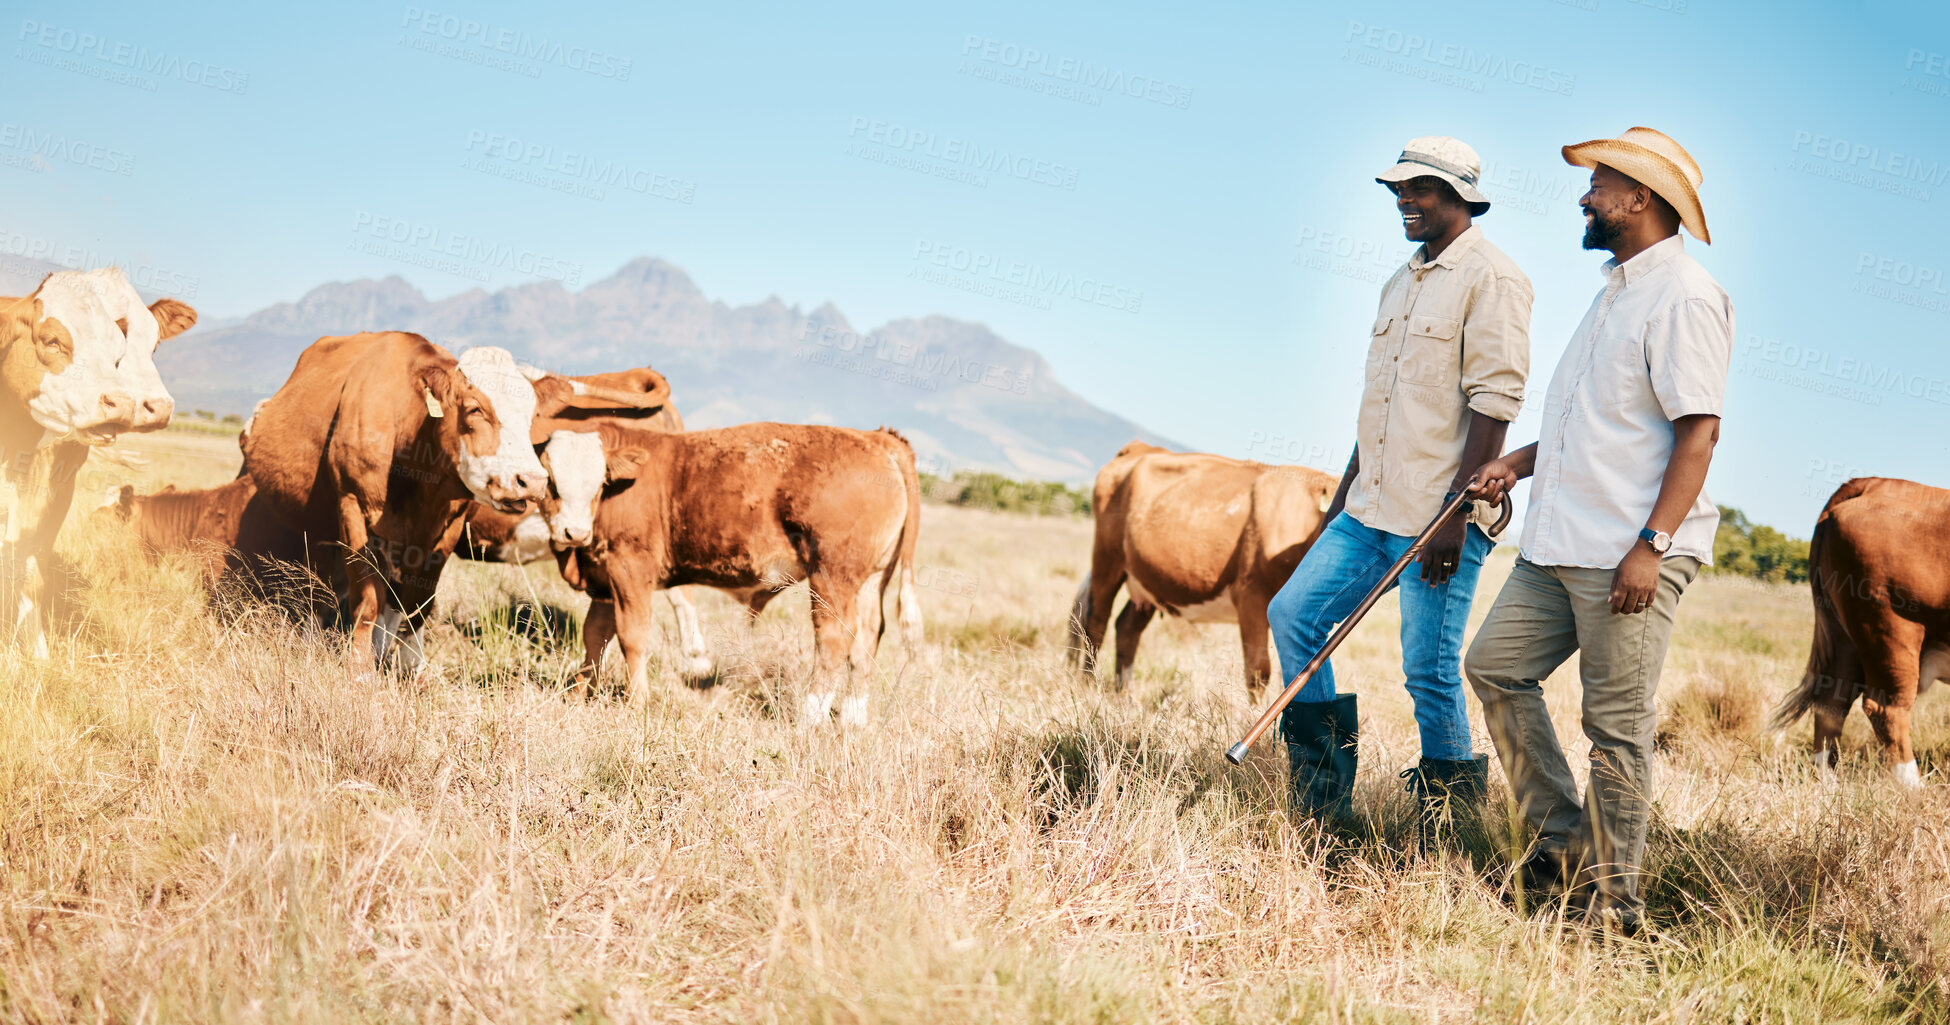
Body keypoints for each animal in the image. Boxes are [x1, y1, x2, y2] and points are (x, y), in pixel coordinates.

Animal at [2, 268, 195, 658]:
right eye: (51, 340)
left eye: (154, 345)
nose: (155, 407)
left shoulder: (57, 491)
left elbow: (31, 569)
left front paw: (37, 652)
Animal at [542, 420, 920, 724]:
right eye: (551, 483)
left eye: (596, 483)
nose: (574, 532)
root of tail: (876, 437)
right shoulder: (605, 579)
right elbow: (594, 636)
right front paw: (577, 696)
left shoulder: (630, 569)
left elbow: (631, 637)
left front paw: (637, 704)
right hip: (870, 580)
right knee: (867, 638)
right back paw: (852, 719)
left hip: (832, 575)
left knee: (834, 636)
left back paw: (810, 717)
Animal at [1068, 442, 1341, 697]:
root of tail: (1140, 447)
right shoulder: (1250, 595)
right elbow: (1258, 672)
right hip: (1107, 561)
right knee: (1096, 624)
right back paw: (1088, 687)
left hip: (1148, 581)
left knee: (1126, 628)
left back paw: (1124, 695)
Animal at [1778, 479, 1942, 787]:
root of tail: (1876, 482)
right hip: (1890, 626)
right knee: (1887, 709)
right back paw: (1913, 787)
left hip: (1844, 636)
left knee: (1832, 701)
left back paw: (1828, 780)